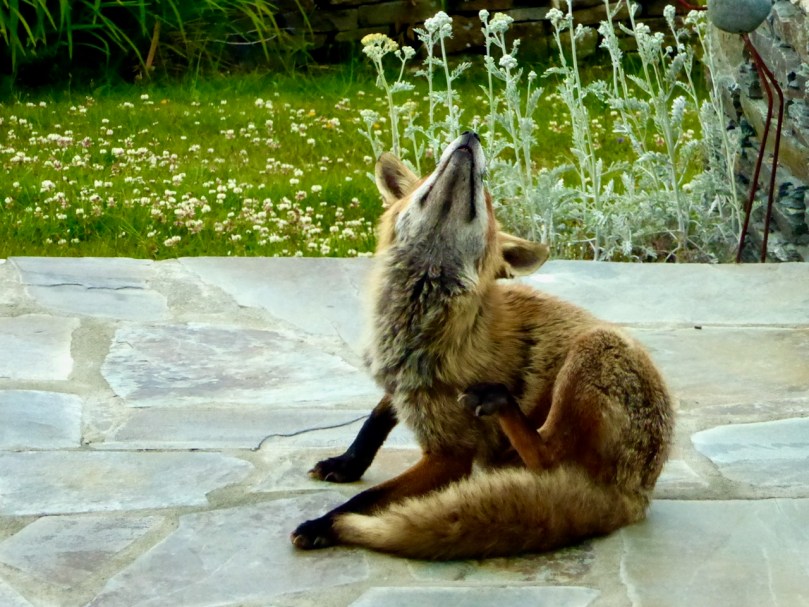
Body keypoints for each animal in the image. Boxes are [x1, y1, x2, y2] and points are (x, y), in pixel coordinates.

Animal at [290, 131, 674, 560]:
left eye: (484, 196)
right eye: (429, 177)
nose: (471, 135)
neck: (417, 329)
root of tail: (636, 496)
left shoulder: (449, 455)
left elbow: (367, 498)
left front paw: (324, 523)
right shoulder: (403, 382)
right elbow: (374, 419)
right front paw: (346, 463)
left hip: (596, 347)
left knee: (548, 456)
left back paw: (499, 404)